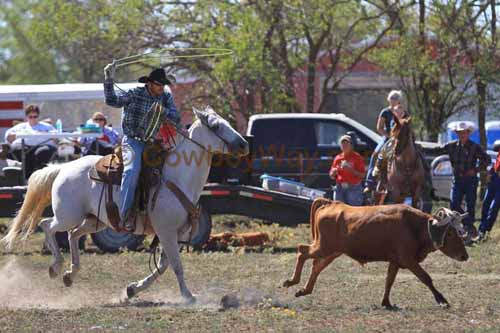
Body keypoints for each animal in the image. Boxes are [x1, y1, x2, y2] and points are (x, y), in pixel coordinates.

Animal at [1, 107, 248, 302]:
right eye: (216, 125)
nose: (244, 143)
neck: (177, 178)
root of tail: (63, 167)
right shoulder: (166, 231)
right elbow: (175, 265)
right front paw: (188, 296)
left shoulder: (176, 233)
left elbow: (163, 265)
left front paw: (132, 290)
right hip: (67, 215)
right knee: (47, 225)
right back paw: (56, 266)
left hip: (96, 220)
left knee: (73, 234)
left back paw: (71, 274)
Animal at [286, 198, 468, 308]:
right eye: (449, 233)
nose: (465, 256)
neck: (414, 225)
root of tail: (332, 203)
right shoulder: (408, 259)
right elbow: (426, 278)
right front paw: (442, 300)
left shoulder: (395, 261)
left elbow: (389, 281)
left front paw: (386, 302)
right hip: (323, 247)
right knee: (302, 251)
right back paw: (292, 281)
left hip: (332, 252)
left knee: (316, 266)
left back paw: (304, 290)